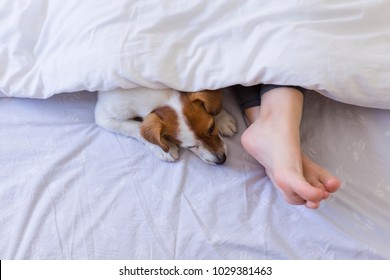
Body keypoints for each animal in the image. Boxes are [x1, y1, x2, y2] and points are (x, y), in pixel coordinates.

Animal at [94, 88, 236, 164]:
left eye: (212, 127)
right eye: (190, 147)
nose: (221, 160)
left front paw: (222, 118)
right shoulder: (104, 116)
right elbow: (136, 128)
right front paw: (163, 148)